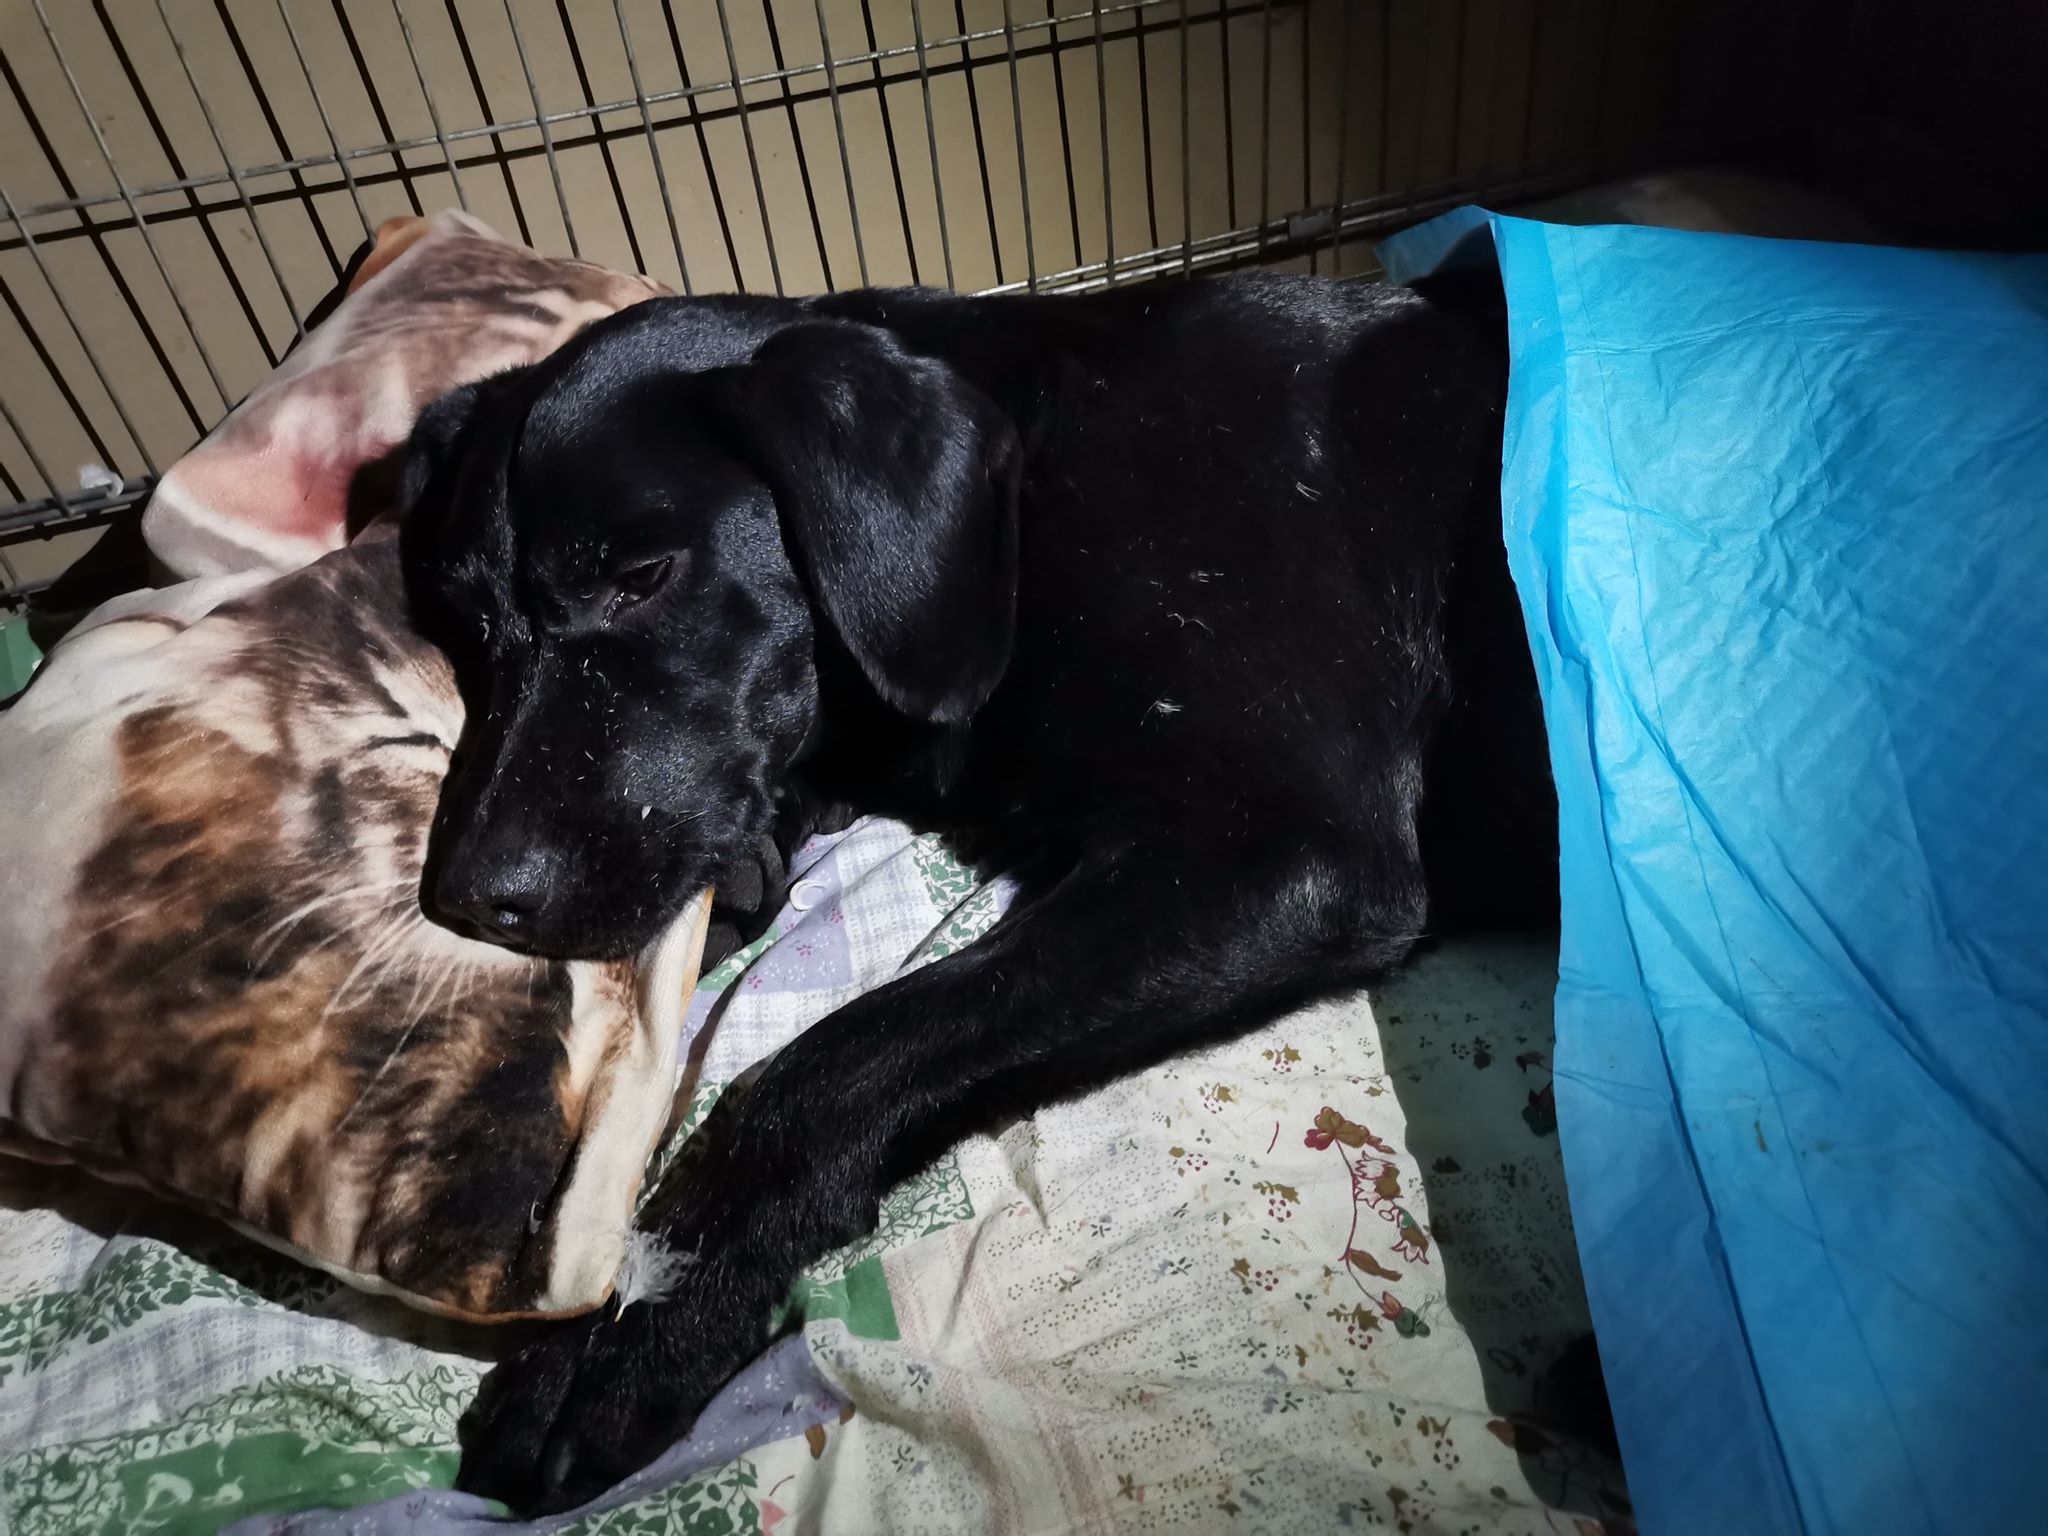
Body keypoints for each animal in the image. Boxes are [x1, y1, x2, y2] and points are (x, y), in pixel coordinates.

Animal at [396, 270, 1555, 1511]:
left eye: (643, 576)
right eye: (466, 623)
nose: (467, 898)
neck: (1036, 497)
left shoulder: (1288, 851)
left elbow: (828, 1062)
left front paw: (629, 1319)